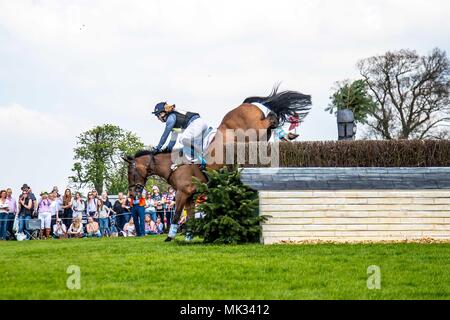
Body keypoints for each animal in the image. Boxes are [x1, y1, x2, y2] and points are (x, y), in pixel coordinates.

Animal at [125, 85, 312, 240]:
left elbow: (177, 215)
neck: (172, 167)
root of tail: (244, 105)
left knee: (272, 118)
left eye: (130, 173)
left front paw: (170, 237)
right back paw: (287, 135)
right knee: (272, 122)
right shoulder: (190, 196)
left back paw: (286, 134)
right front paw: (189, 237)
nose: (132, 195)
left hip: (254, 129)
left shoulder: (182, 193)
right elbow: (190, 216)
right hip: (259, 136)